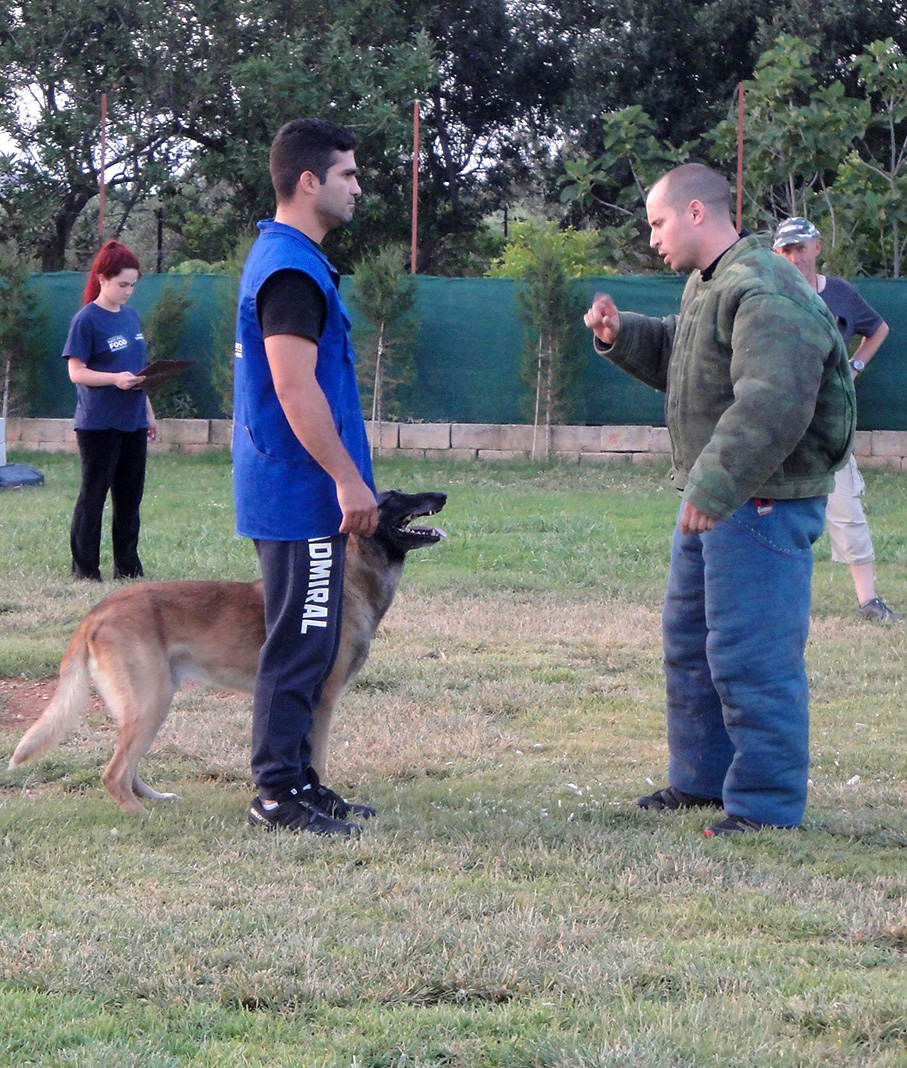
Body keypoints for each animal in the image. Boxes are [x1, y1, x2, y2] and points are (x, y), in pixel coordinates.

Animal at [7, 489, 446, 807]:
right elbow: (315, 763)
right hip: (152, 702)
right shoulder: (320, 701)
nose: (441, 495)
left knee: (128, 769)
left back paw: (155, 799)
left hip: (148, 704)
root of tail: (95, 612)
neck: (350, 583)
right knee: (114, 775)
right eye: (394, 497)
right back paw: (140, 816)